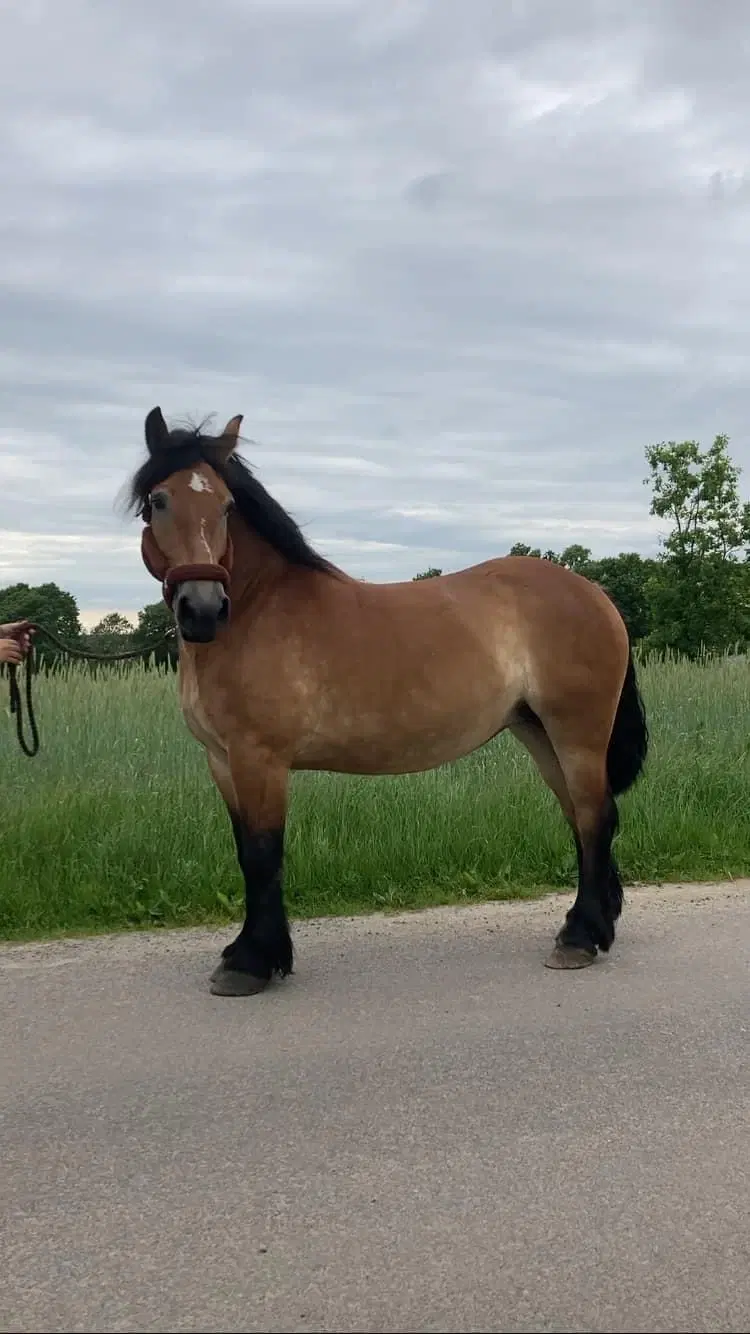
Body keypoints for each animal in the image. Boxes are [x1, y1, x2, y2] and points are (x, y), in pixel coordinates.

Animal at [128, 410, 643, 997]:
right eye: (158, 501)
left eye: (226, 505)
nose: (203, 609)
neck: (258, 610)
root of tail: (597, 595)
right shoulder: (222, 760)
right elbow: (244, 851)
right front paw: (248, 951)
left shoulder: (260, 759)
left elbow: (262, 854)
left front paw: (253, 962)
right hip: (538, 733)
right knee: (580, 818)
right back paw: (591, 928)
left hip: (577, 733)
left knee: (595, 817)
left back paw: (579, 939)